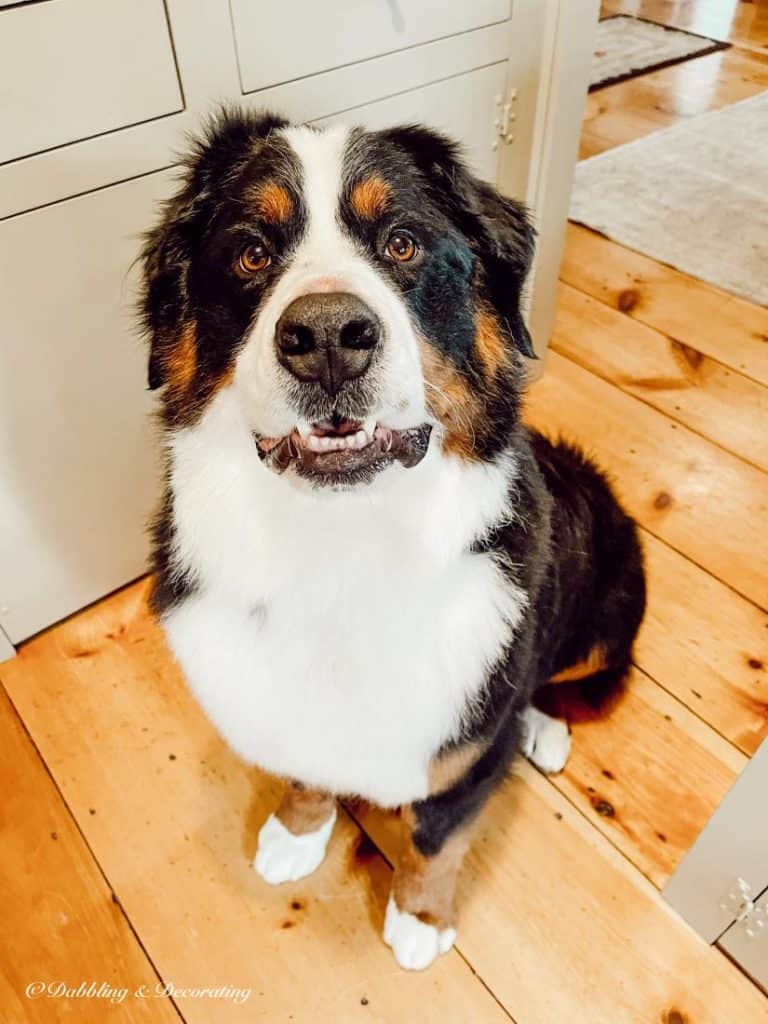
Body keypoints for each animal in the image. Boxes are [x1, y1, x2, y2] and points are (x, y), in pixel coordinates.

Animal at [140, 108, 651, 970]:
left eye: (403, 243)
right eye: (251, 253)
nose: (326, 336)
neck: (343, 549)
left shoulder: (466, 753)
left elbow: (436, 838)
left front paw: (419, 920)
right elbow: (306, 772)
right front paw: (295, 834)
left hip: (610, 602)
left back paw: (544, 730)